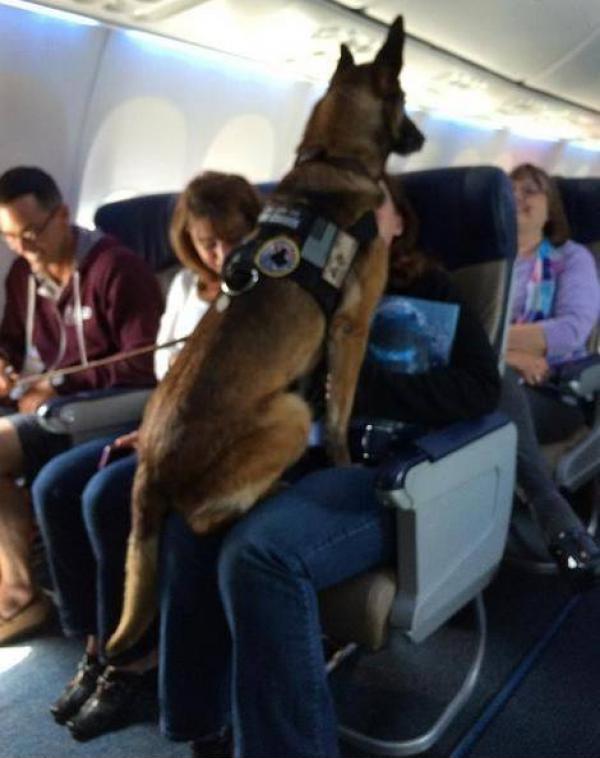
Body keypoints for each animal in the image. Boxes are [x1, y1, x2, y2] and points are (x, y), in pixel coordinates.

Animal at [109, 17, 426, 660]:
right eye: (405, 99)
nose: (424, 136)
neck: (334, 155)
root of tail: (149, 462)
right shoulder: (351, 329)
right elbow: (339, 415)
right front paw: (341, 464)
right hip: (285, 415)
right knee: (203, 520)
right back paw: (275, 487)